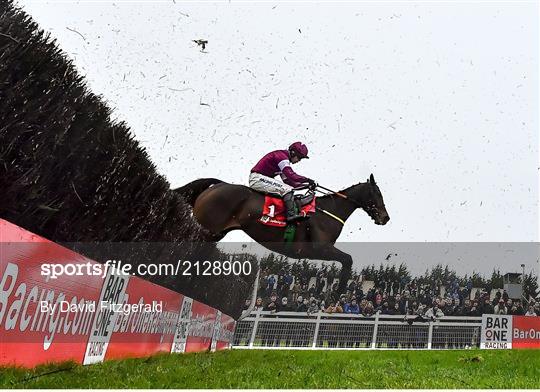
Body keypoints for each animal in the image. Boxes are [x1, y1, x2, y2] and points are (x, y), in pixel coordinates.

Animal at [175, 175, 390, 294]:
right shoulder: (320, 249)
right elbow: (348, 259)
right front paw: (338, 294)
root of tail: (219, 184)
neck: (329, 211)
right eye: (378, 194)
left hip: (214, 232)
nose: (385, 218)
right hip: (207, 228)